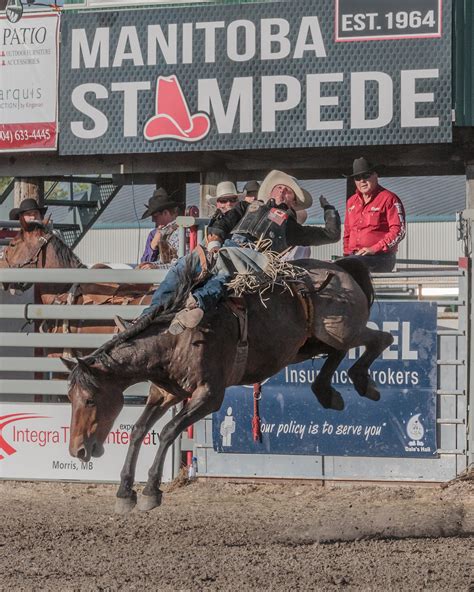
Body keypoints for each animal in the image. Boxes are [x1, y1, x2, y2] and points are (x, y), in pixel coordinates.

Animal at [60, 256, 392, 516]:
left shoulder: (209, 396)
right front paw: (124, 493)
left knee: (381, 338)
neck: (176, 338)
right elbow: (140, 431)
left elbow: (168, 431)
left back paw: (362, 383)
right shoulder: (164, 393)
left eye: (90, 399)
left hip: (340, 331)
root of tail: (341, 267)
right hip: (312, 342)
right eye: (70, 399)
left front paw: (151, 492)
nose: (77, 450)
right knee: (342, 352)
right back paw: (328, 393)